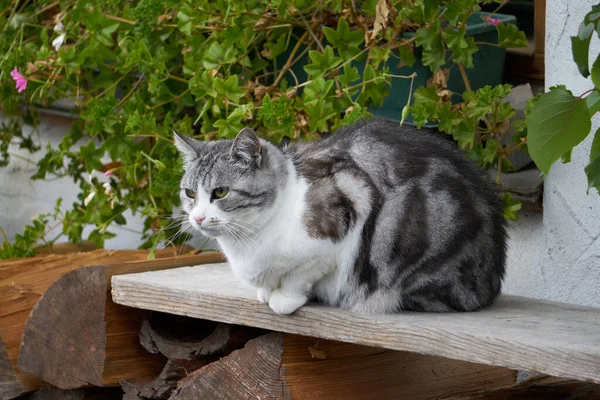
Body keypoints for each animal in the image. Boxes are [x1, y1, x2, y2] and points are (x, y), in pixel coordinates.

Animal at [175, 119, 506, 316]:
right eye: (190, 193)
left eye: (220, 192)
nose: (198, 218)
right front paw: (266, 292)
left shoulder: (344, 215)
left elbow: (299, 276)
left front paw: (283, 298)